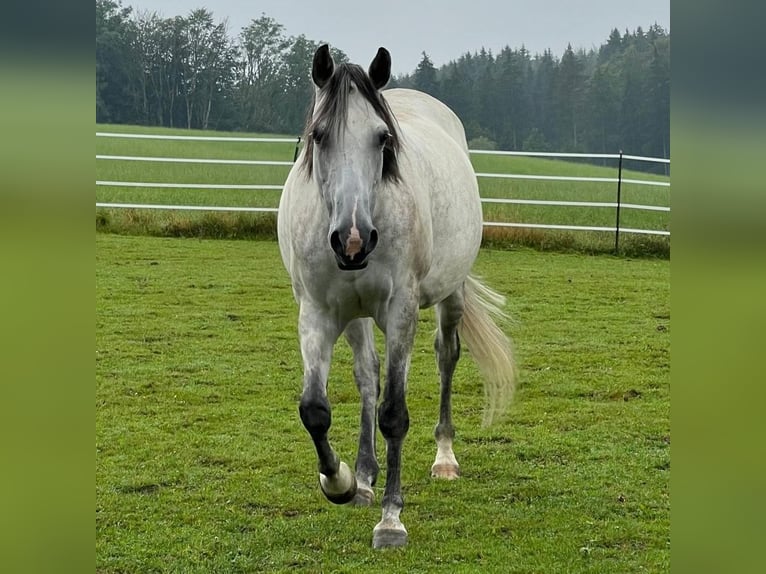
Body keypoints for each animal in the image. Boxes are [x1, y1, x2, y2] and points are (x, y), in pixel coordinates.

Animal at [277, 44, 516, 549]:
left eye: (382, 138)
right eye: (319, 136)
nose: (352, 240)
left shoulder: (401, 311)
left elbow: (394, 414)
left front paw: (391, 520)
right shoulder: (317, 312)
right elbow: (315, 409)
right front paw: (342, 481)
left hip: (450, 295)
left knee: (446, 356)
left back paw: (444, 458)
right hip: (355, 315)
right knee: (367, 376)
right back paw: (365, 476)